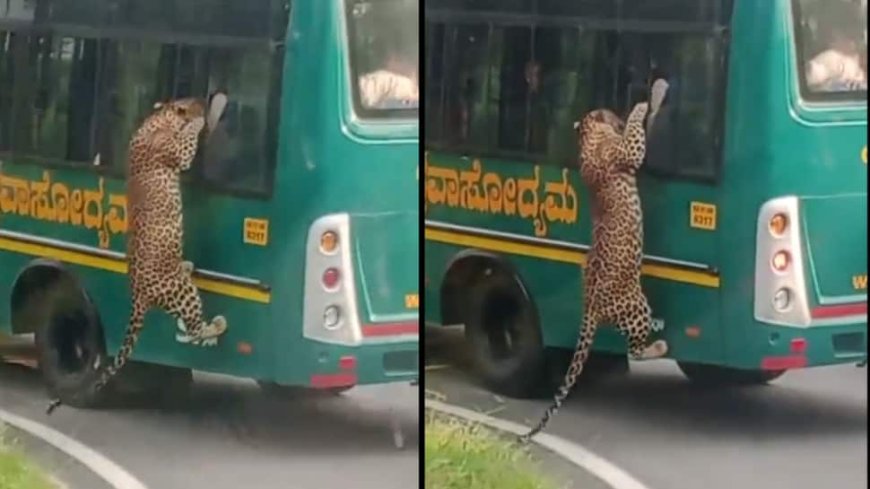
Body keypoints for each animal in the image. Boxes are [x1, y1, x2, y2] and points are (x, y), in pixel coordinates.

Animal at [46, 97, 228, 414]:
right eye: (193, 102)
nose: (202, 102)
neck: (158, 118)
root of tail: (138, 295)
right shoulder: (177, 154)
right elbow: (188, 143)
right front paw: (200, 119)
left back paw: (188, 266)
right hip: (184, 292)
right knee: (194, 329)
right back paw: (216, 324)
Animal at [520, 101, 672, 440]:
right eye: (612, 114)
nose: (619, 114)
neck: (588, 139)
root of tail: (589, 307)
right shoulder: (627, 151)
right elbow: (635, 139)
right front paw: (641, 108)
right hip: (638, 306)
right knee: (635, 350)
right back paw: (660, 345)